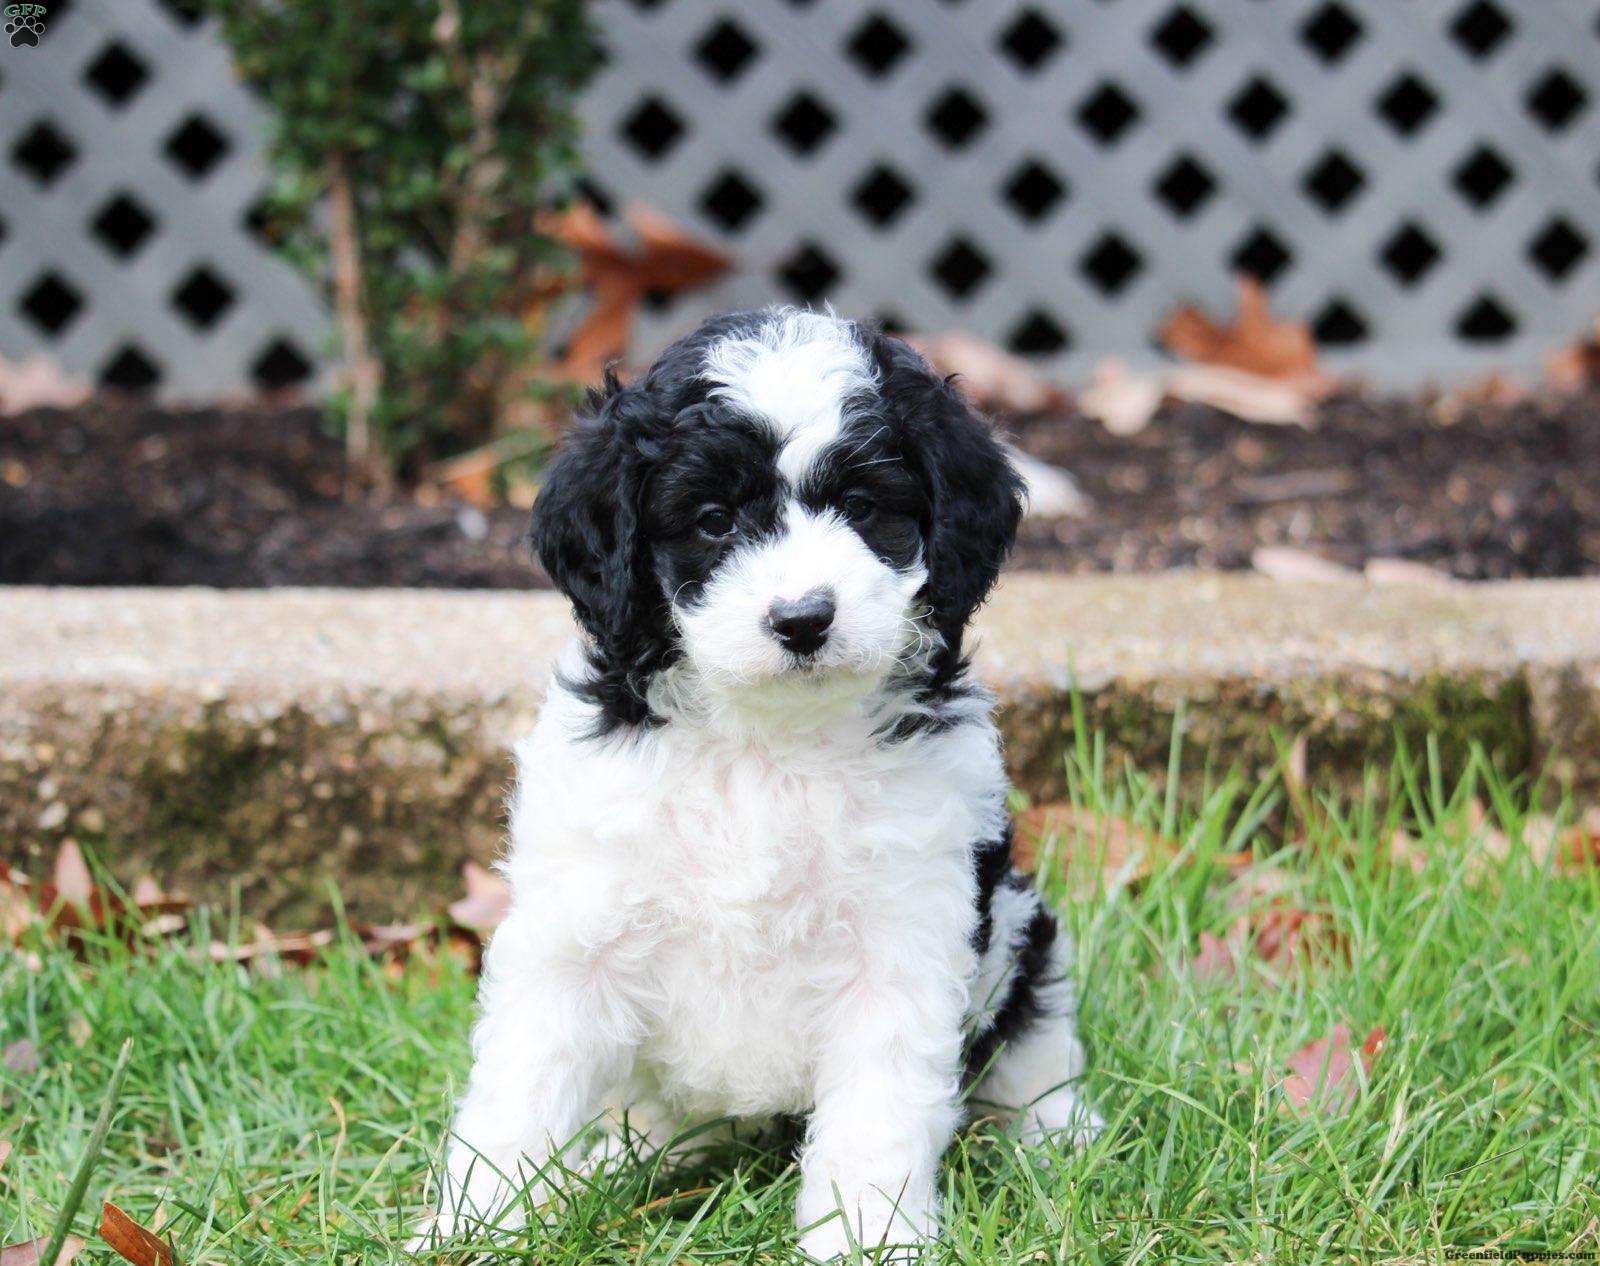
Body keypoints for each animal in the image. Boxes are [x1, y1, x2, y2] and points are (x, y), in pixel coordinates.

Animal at [423, 308, 1099, 1258]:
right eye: (712, 520)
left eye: (863, 508)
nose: (803, 620)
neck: (766, 745)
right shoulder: (578, 930)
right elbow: (521, 1092)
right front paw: (476, 1227)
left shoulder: (903, 941)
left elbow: (876, 1120)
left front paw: (866, 1240)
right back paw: (617, 1165)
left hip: (1021, 929)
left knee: (1035, 1044)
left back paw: (1060, 1137)